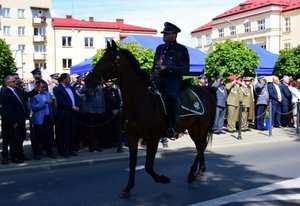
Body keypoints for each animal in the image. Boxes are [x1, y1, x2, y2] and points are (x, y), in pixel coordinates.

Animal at [85, 40, 217, 198]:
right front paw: (128, 187)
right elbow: (132, 163)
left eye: (108, 60)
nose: (87, 80)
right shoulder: (132, 136)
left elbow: (148, 166)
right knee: (199, 146)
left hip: (201, 125)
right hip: (192, 127)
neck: (139, 100)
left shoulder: (152, 137)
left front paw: (163, 179)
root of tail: (207, 89)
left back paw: (193, 173)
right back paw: (199, 171)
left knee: (201, 146)